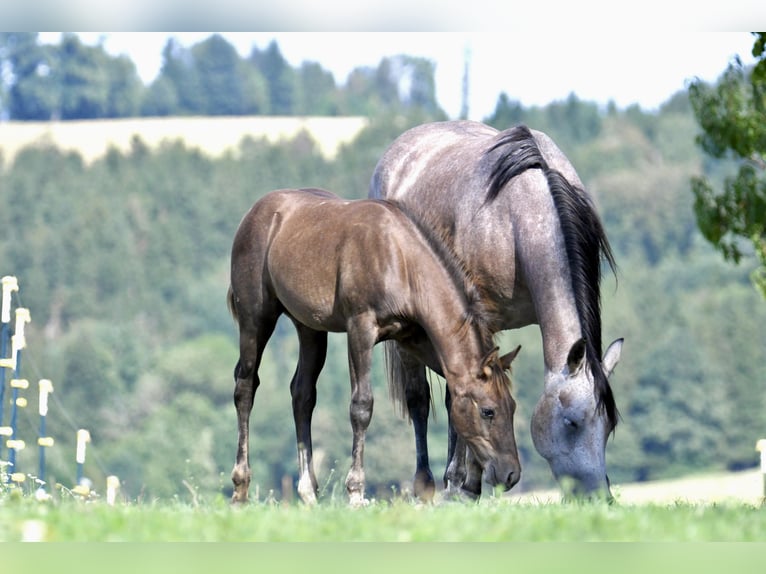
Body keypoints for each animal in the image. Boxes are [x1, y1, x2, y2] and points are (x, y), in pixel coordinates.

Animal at [227, 187, 522, 505]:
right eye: (488, 411)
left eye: (512, 407)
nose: (511, 474)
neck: (400, 259)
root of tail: (257, 211)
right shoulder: (360, 328)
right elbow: (362, 405)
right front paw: (356, 491)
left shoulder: (416, 339)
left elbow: (431, 399)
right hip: (256, 320)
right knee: (245, 386)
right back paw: (240, 488)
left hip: (310, 328)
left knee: (302, 393)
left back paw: (308, 493)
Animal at [369, 121, 623, 499]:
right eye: (572, 422)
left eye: (609, 425)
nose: (599, 498)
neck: (520, 217)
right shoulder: (479, 321)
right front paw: (464, 485)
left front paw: (465, 482)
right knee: (419, 400)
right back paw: (428, 483)